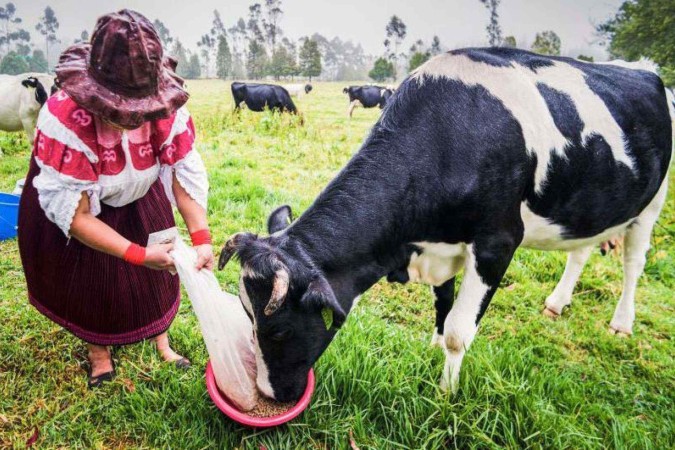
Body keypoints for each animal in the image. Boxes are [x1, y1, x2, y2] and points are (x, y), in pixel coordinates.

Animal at [219, 47, 672, 402]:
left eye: (278, 331)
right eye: (246, 315)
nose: (268, 395)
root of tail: (646, 69)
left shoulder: (496, 243)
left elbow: (459, 329)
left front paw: (446, 393)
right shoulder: (440, 244)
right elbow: (442, 302)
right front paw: (432, 347)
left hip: (651, 204)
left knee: (634, 264)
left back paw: (622, 323)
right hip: (593, 207)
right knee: (580, 251)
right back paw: (557, 302)